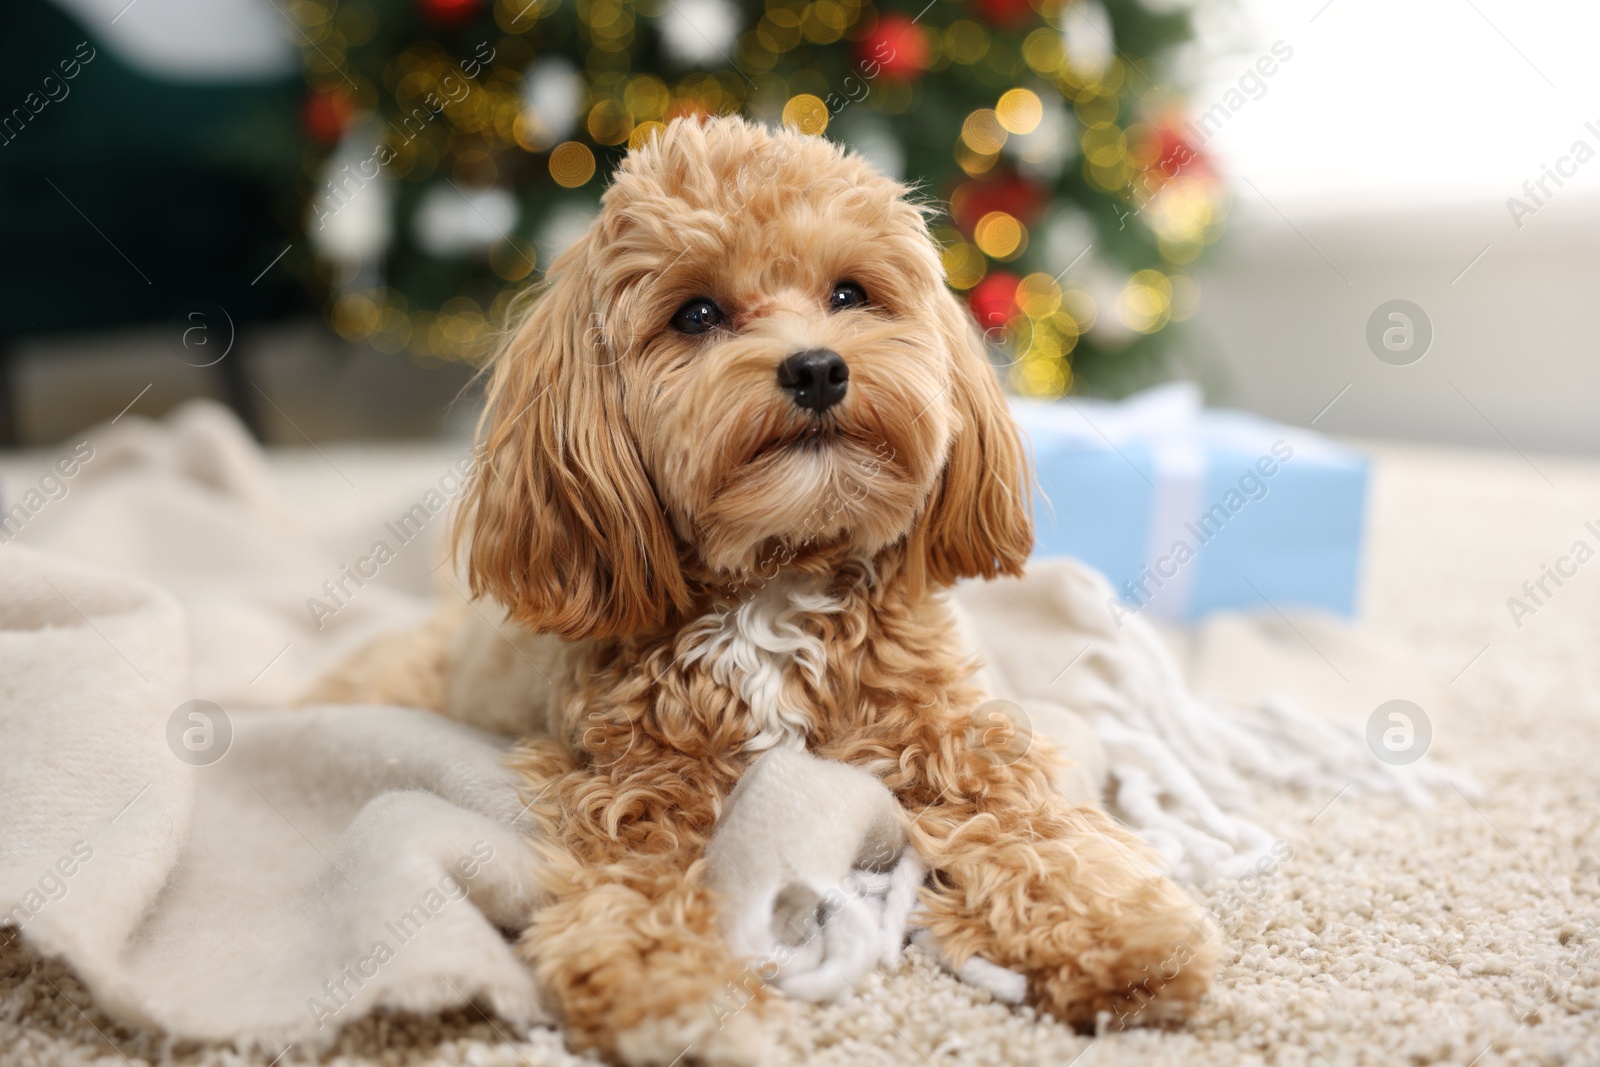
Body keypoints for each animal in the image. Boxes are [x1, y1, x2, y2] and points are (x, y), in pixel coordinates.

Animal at [312, 115, 1209, 1067]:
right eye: (697, 314)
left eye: (850, 293)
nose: (816, 369)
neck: (776, 580)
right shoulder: (633, 784)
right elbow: (633, 885)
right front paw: (676, 995)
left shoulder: (948, 736)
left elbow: (1032, 827)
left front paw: (1120, 937)